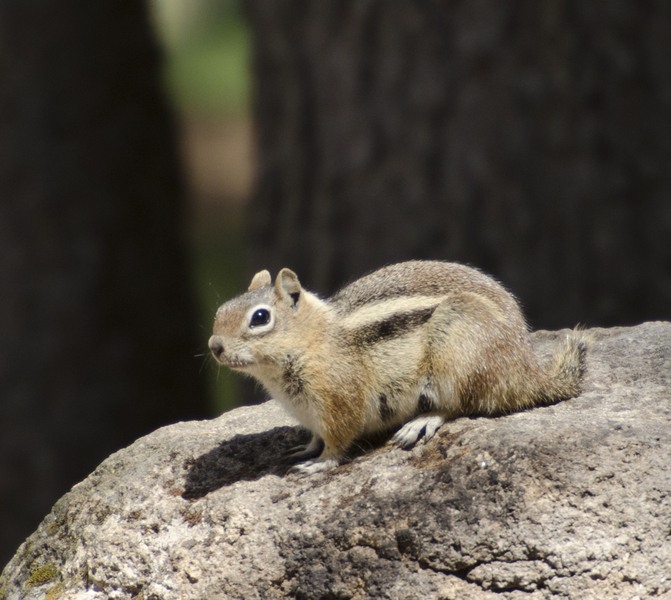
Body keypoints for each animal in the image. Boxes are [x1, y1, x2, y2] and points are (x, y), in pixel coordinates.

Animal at [210, 260, 588, 476]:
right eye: (221, 310)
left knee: (460, 405)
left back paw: (421, 422)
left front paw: (319, 463)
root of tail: (525, 368)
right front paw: (305, 448)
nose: (214, 346)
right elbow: (316, 435)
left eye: (260, 318)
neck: (315, 339)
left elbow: (338, 440)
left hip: (458, 348)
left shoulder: (339, 401)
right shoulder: (311, 411)